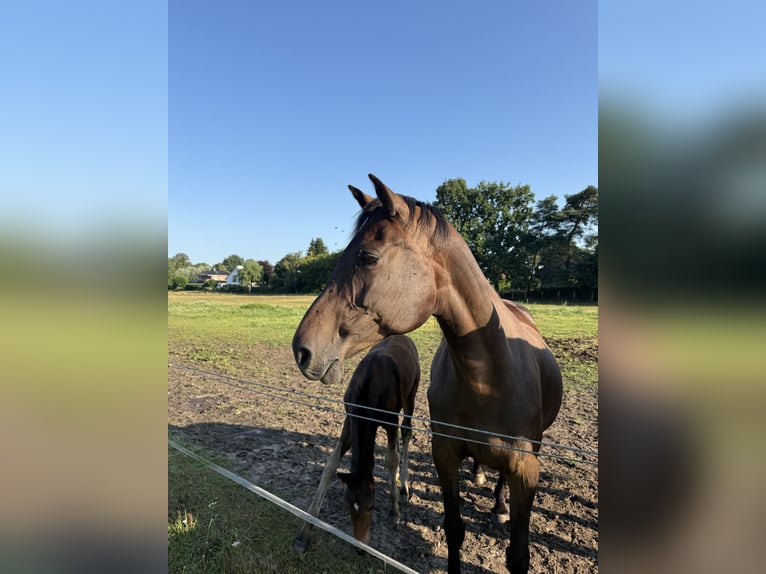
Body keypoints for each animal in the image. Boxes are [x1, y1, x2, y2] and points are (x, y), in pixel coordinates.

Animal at [294, 334, 420, 551]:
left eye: (372, 506)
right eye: (347, 506)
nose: (361, 548)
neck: (371, 385)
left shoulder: (390, 421)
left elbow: (391, 460)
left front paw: (394, 510)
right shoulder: (349, 420)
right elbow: (331, 464)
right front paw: (305, 532)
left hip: (411, 396)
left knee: (406, 432)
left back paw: (403, 485)